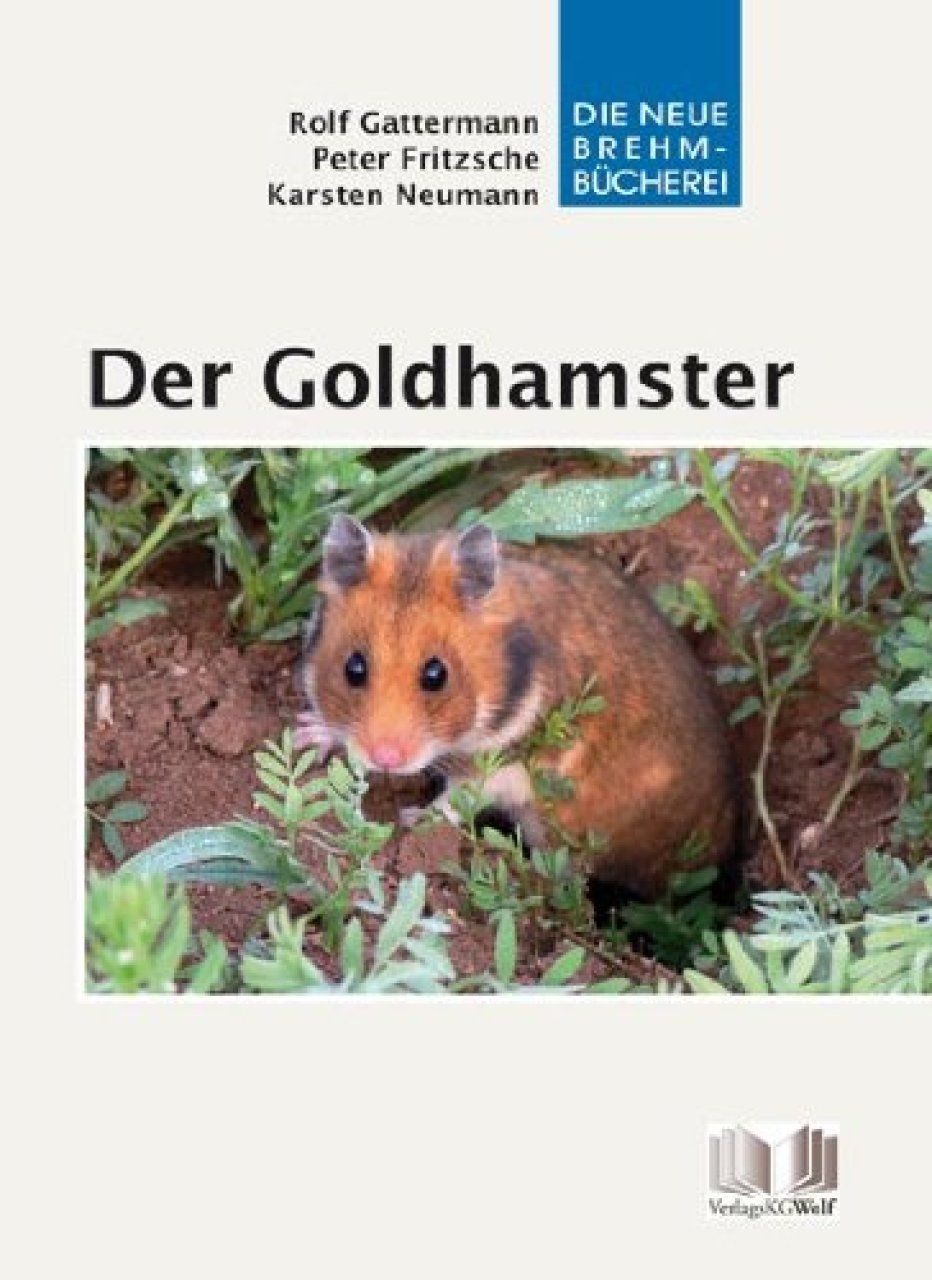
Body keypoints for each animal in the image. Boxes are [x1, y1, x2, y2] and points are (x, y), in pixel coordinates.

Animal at [296, 514, 742, 902]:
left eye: (436, 675)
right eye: (353, 668)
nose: (384, 759)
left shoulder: (505, 763)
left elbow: (460, 797)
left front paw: (412, 822)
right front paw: (307, 736)